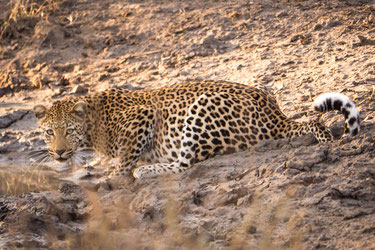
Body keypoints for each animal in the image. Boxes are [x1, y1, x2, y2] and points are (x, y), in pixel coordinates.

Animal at [33, 79, 360, 179]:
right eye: (49, 133)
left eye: (68, 131)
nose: (58, 153)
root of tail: (275, 115)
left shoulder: (142, 115)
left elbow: (126, 157)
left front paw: (114, 175)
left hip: (201, 108)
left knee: (184, 163)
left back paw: (146, 170)